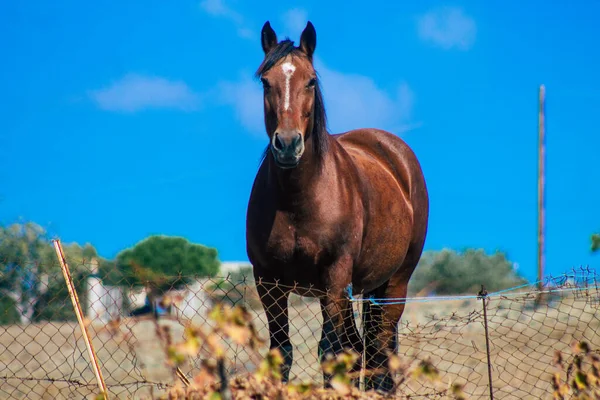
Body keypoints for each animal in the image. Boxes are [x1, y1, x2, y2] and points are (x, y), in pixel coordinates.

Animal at [246, 20, 428, 392]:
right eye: (266, 81)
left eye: (311, 81)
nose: (288, 144)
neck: (297, 200)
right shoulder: (268, 282)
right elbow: (282, 351)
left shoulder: (334, 276)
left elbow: (329, 351)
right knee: (362, 349)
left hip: (394, 284)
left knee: (378, 348)